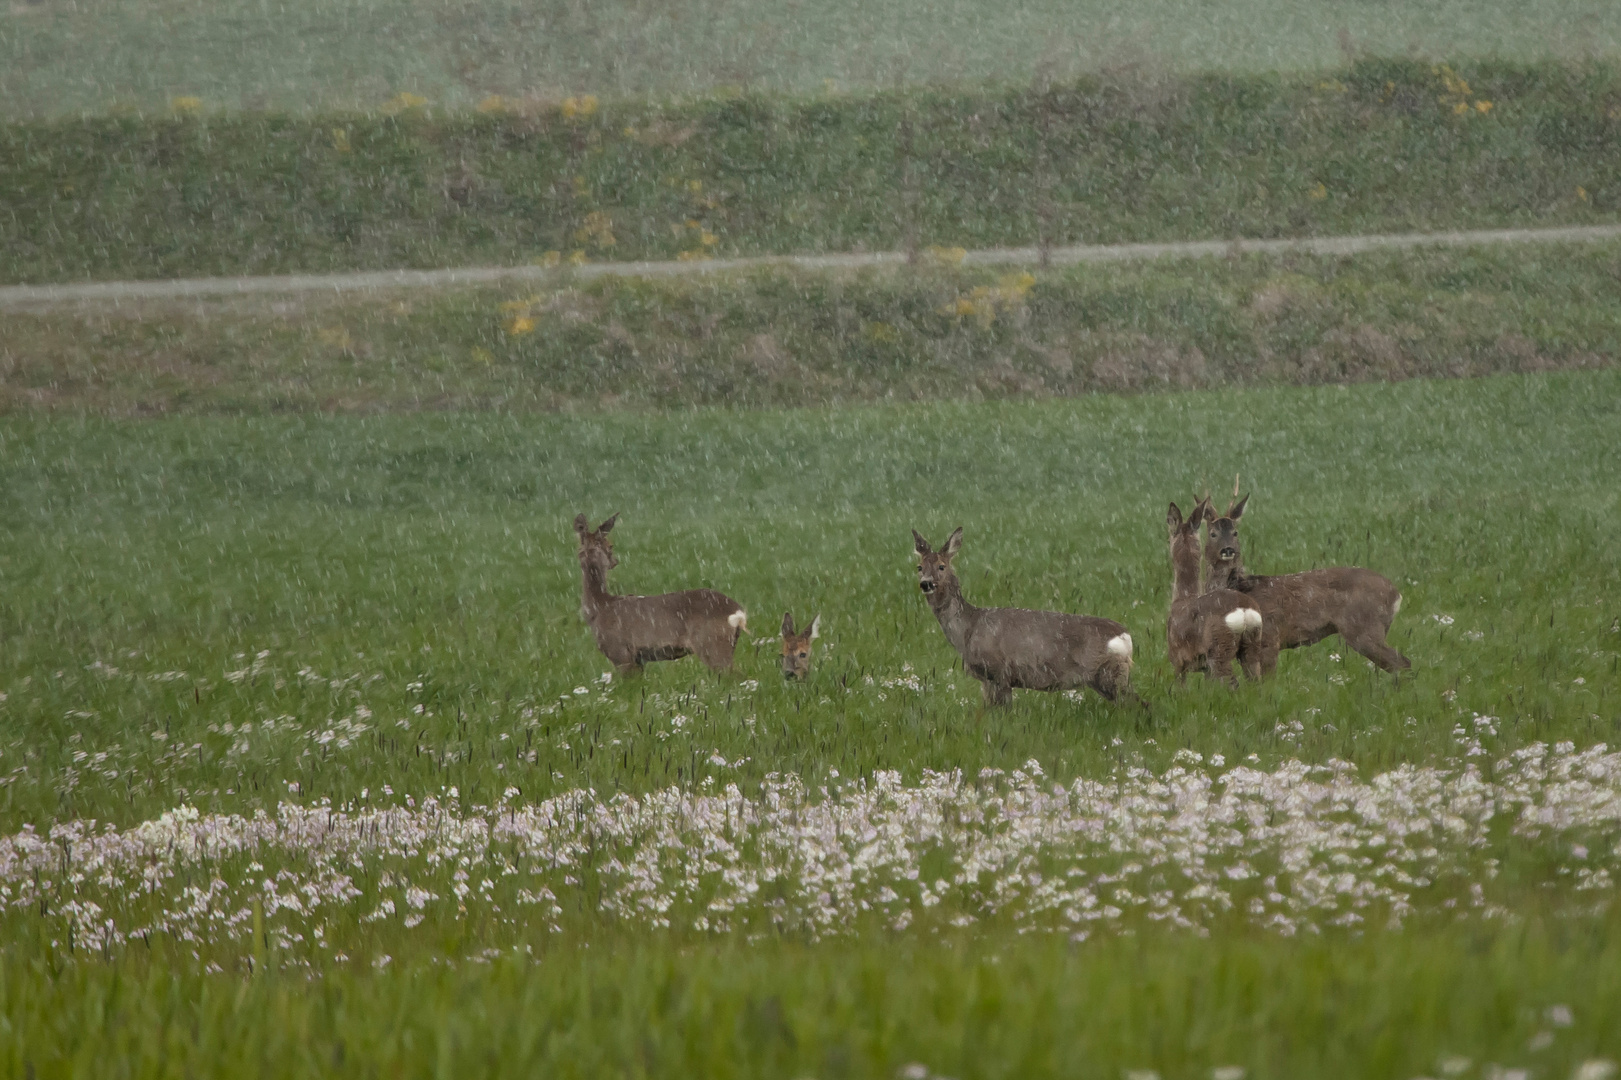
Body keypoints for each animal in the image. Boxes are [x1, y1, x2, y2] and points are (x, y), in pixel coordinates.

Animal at [570, 512, 745, 674]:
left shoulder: (620, 653)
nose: (615, 561)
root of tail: (739, 612)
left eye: (610, 545)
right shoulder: (638, 659)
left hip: (711, 644)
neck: (599, 607)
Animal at [914, 522, 1141, 707]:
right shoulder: (989, 680)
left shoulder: (998, 673)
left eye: (942, 566)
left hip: (1109, 675)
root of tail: (1125, 636)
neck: (968, 629)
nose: (926, 583)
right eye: (919, 567)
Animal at [1199, 480, 1413, 674]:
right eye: (1213, 533)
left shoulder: (1270, 637)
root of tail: (1396, 594)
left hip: (1365, 628)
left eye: (1235, 532)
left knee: (1402, 663)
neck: (1241, 588)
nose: (1228, 550)